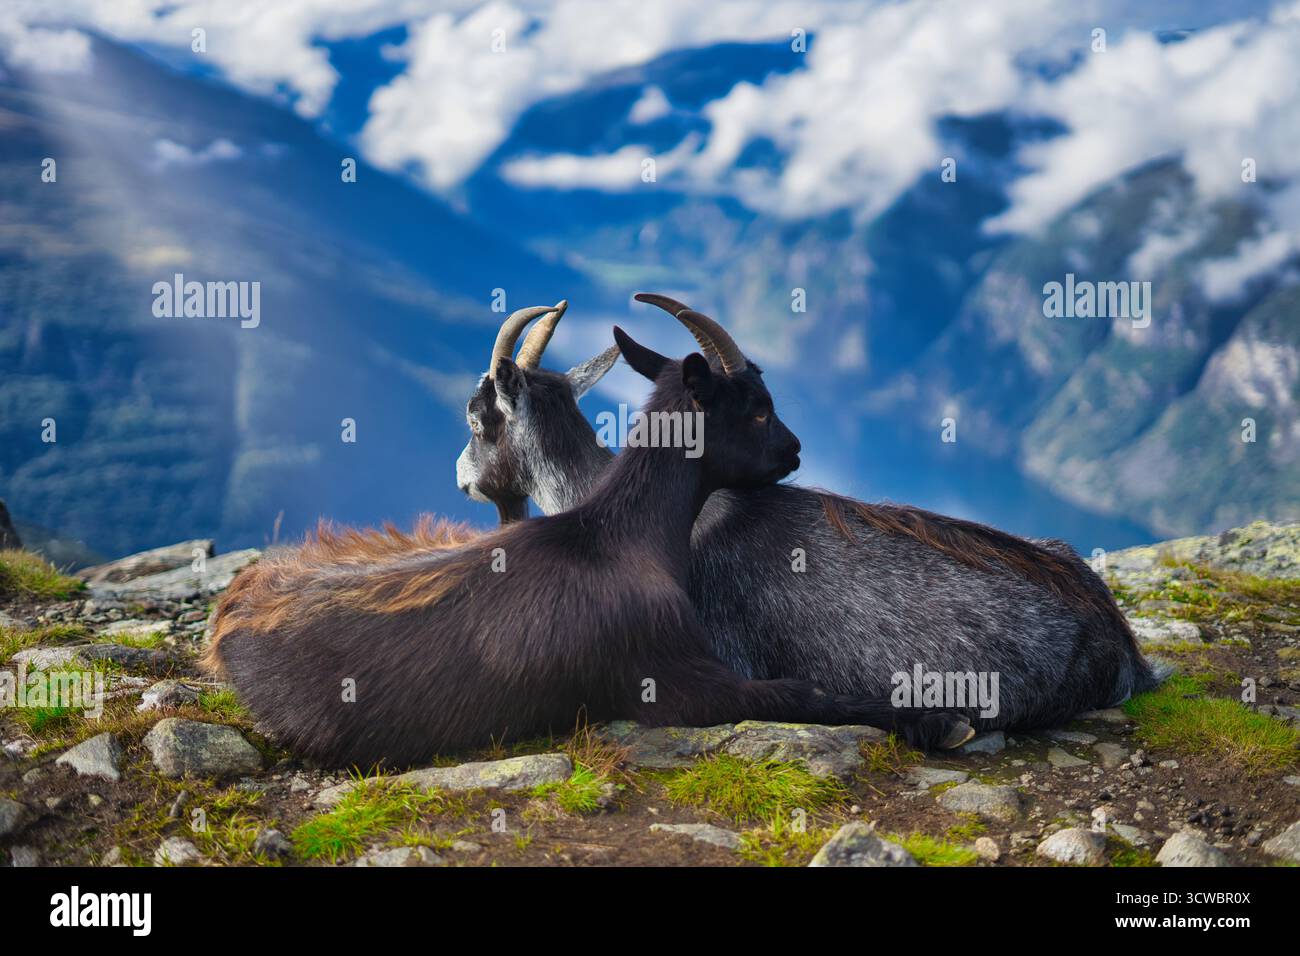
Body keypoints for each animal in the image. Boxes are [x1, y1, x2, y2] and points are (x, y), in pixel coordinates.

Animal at [205, 299, 974, 768]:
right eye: (756, 408)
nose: (794, 452)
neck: (618, 538)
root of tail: (234, 606)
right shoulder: (678, 680)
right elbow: (803, 694)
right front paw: (937, 718)